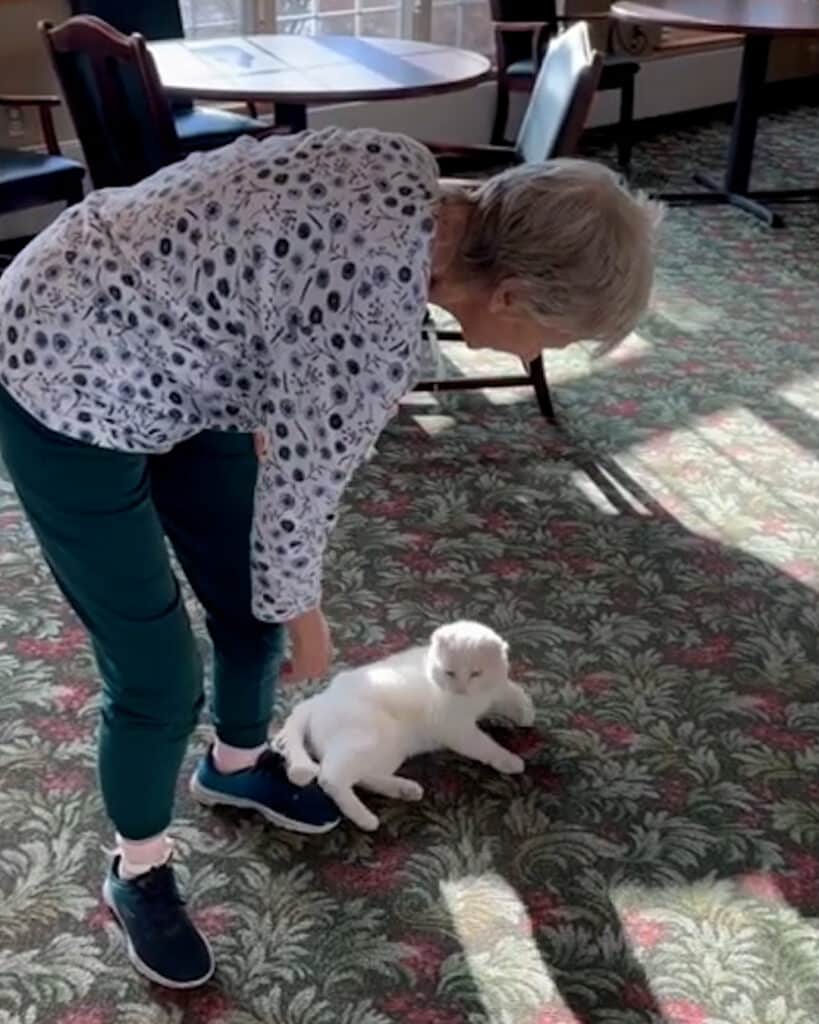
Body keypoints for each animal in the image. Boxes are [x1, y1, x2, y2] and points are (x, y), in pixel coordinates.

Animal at [274, 618, 536, 827]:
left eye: (476, 673)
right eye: (450, 673)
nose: (461, 689)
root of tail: (316, 700)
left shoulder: (493, 691)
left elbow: (512, 693)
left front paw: (526, 712)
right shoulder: (456, 728)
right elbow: (485, 746)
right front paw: (509, 760)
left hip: (390, 750)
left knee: (364, 777)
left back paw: (405, 789)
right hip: (368, 739)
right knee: (331, 777)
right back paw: (365, 818)